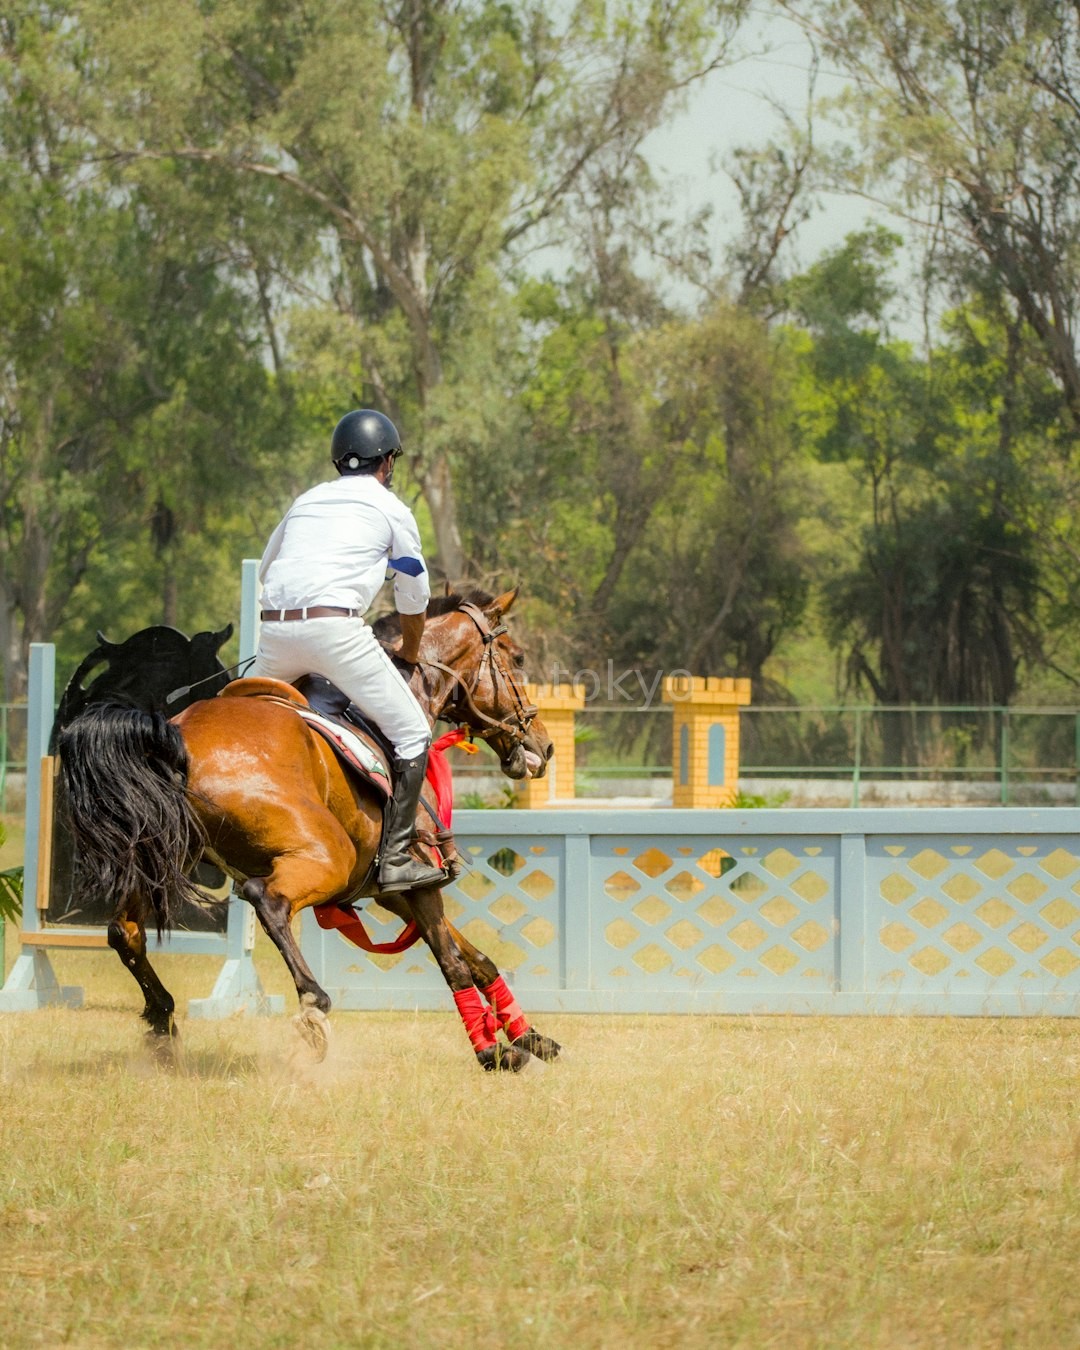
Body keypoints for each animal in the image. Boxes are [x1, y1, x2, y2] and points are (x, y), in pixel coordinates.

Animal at [56, 588, 562, 1071]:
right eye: (518, 659)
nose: (545, 746)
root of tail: (177, 736)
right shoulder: (417, 881)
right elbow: (453, 962)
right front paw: (493, 1051)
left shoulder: (391, 891)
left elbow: (477, 960)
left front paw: (530, 1038)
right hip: (327, 855)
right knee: (268, 900)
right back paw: (313, 1007)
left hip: (161, 856)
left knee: (124, 932)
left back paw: (163, 1024)